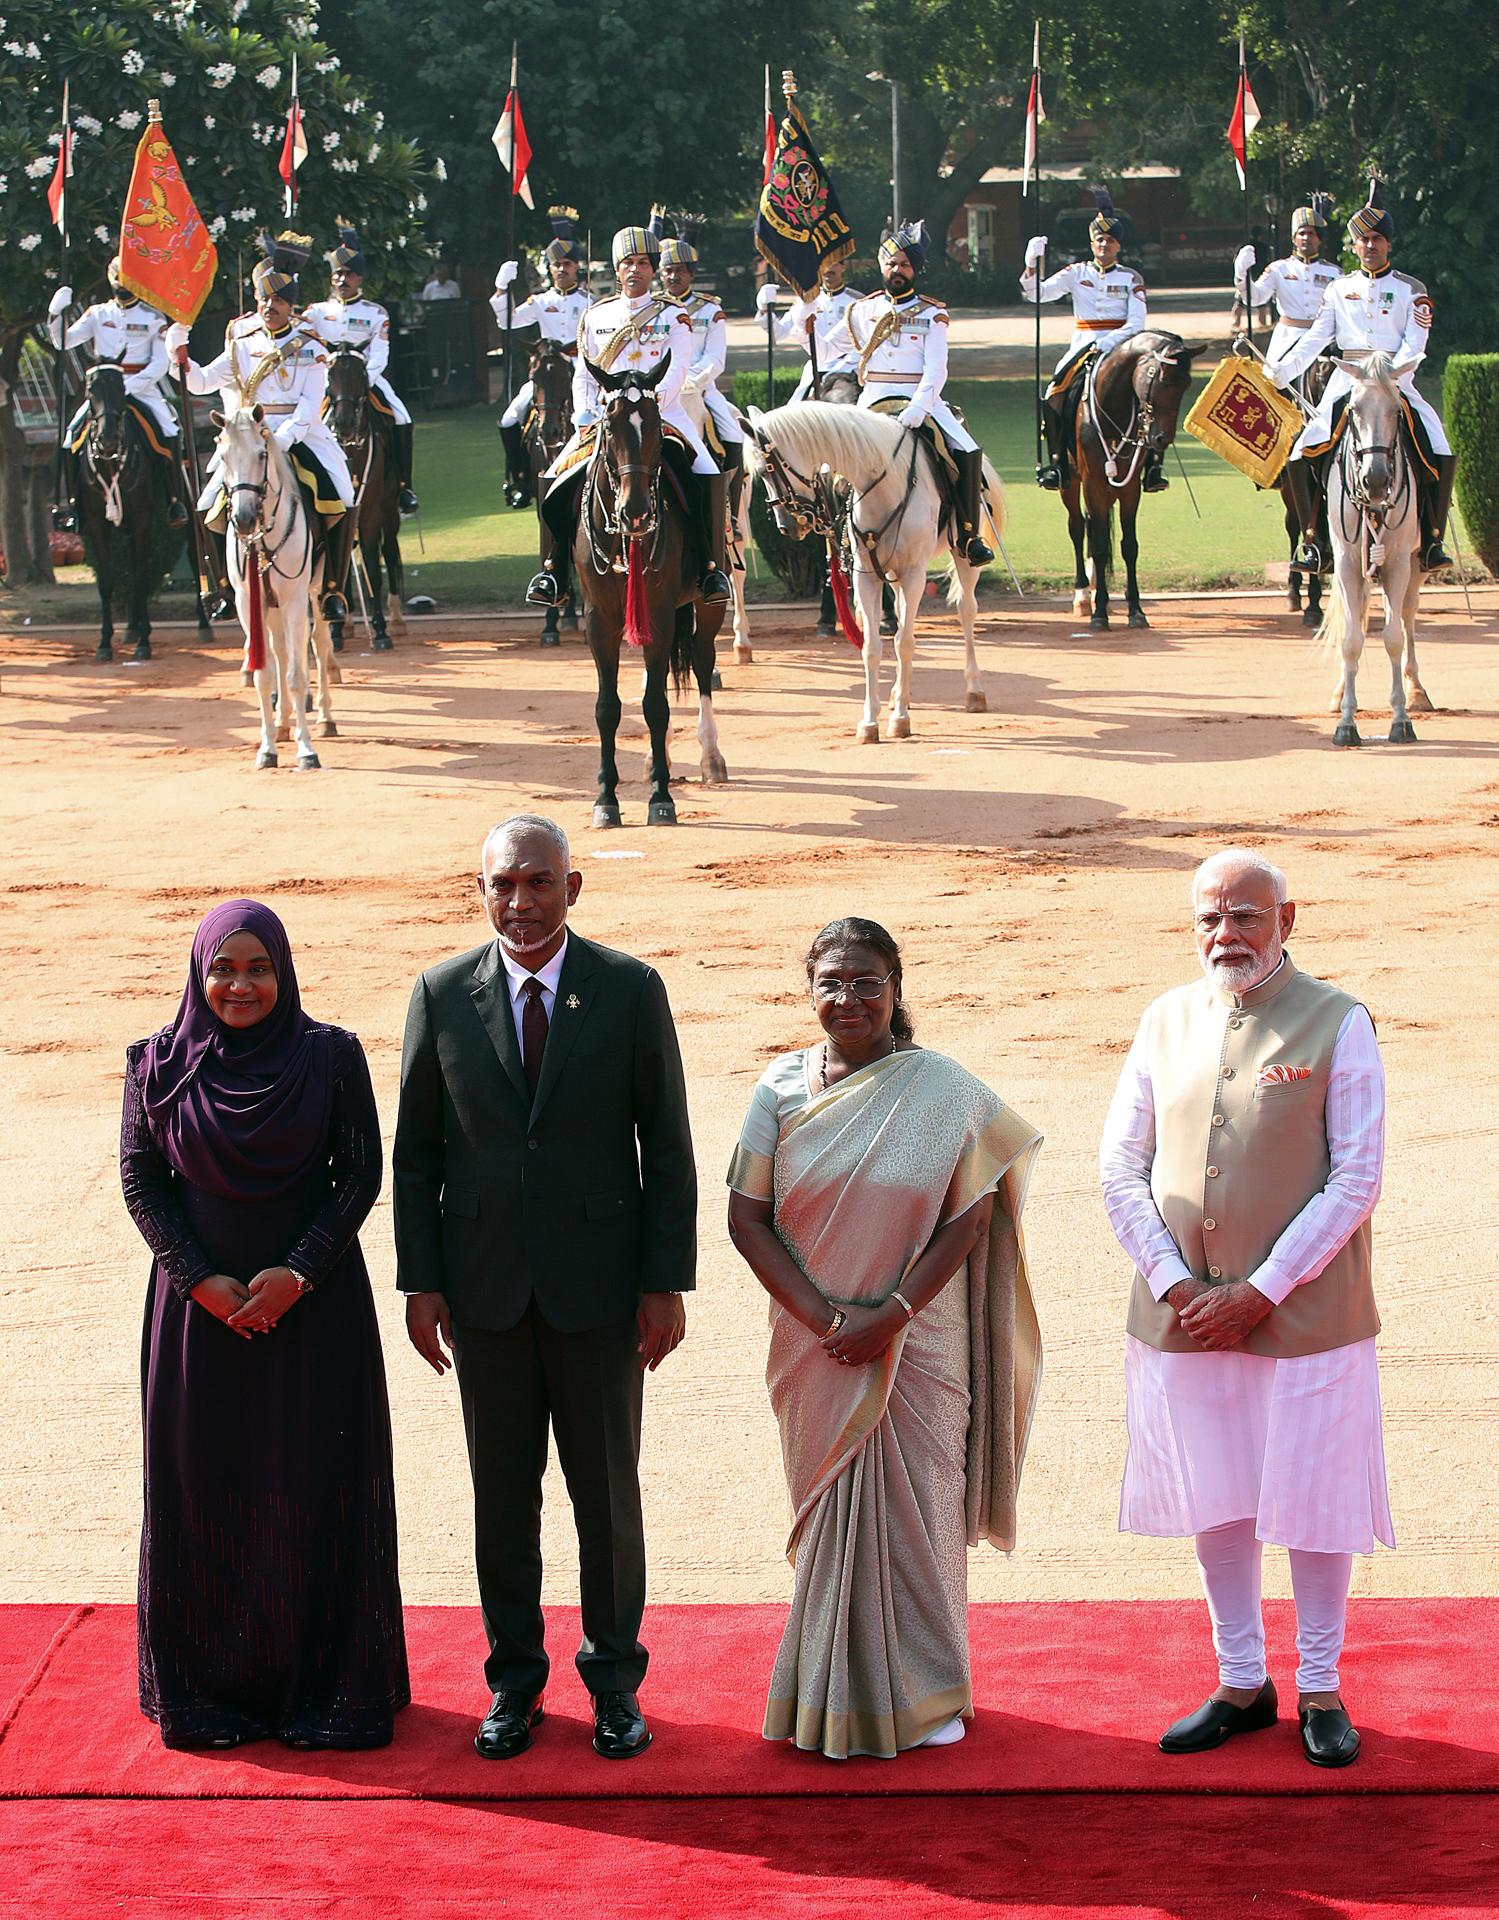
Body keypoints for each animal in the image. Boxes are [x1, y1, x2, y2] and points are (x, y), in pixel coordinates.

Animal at [212, 408, 337, 768]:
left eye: (261, 453)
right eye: (223, 456)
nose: (243, 518)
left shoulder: (294, 597)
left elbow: (296, 674)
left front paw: (306, 750)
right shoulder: (248, 602)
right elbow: (264, 674)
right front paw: (267, 748)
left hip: (315, 591)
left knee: (319, 643)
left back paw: (325, 718)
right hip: (271, 605)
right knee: (280, 651)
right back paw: (282, 724)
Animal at [564, 360, 721, 825]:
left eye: (652, 425)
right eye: (610, 425)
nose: (635, 511)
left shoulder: (661, 613)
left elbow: (655, 705)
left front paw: (661, 798)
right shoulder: (599, 620)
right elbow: (608, 707)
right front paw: (606, 799)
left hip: (707, 603)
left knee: (702, 663)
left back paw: (710, 758)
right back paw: (658, 761)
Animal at [740, 399, 998, 741]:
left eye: (767, 471)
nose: (788, 527)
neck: (883, 482)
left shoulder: (915, 574)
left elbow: (904, 642)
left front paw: (900, 720)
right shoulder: (866, 576)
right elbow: (872, 647)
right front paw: (870, 721)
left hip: (962, 556)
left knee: (966, 611)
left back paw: (974, 691)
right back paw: (899, 694)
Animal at [1059, 330, 1197, 629]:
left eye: (1186, 384)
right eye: (1162, 380)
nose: (1162, 439)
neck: (1113, 410)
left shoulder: (1130, 488)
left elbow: (1129, 546)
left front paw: (1135, 609)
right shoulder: (1092, 484)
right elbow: (1100, 547)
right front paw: (1100, 613)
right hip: (1072, 484)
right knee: (1077, 528)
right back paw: (1083, 595)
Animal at [1312, 353, 1435, 748]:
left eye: (1397, 410)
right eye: (1353, 410)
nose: (1377, 479)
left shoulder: (1397, 562)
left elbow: (1394, 637)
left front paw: (1401, 719)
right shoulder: (1347, 564)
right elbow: (1351, 639)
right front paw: (1346, 724)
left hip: (1416, 564)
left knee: (1407, 617)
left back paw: (1417, 692)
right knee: (1358, 620)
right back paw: (1340, 694)